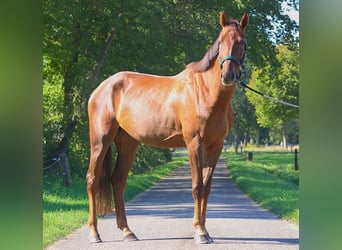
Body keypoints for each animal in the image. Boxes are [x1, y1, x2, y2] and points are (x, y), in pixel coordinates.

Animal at [87, 11, 248, 244]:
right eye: (221, 42)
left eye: (242, 42)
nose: (228, 75)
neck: (206, 93)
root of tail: (102, 88)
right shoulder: (194, 144)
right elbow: (197, 186)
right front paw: (200, 232)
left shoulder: (216, 146)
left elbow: (207, 187)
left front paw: (205, 230)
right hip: (100, 141)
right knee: (92, 180)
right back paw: (94, 233)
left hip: (127, 144)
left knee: (117, 181)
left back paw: (127, 231)